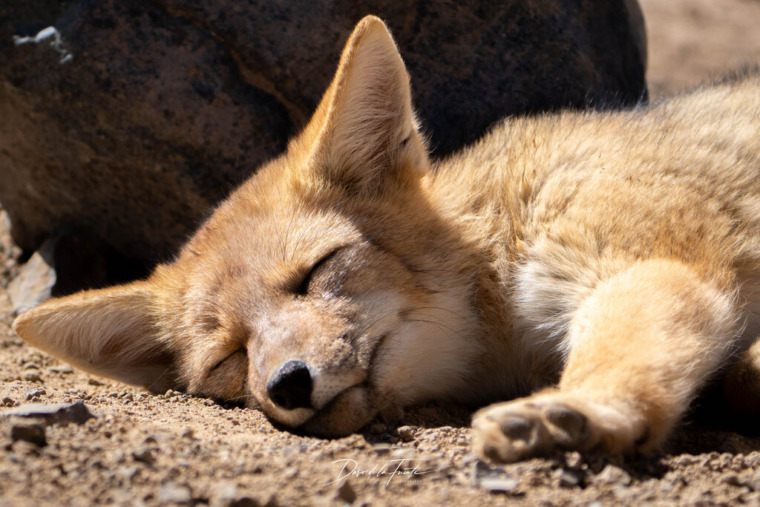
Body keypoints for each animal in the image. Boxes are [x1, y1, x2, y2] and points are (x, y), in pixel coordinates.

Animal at [10, 15, 760, 463]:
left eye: (316, 272)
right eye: (228, 357)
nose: (287, 384)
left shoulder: (657, 261)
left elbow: (617, 352)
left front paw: (577, 409)